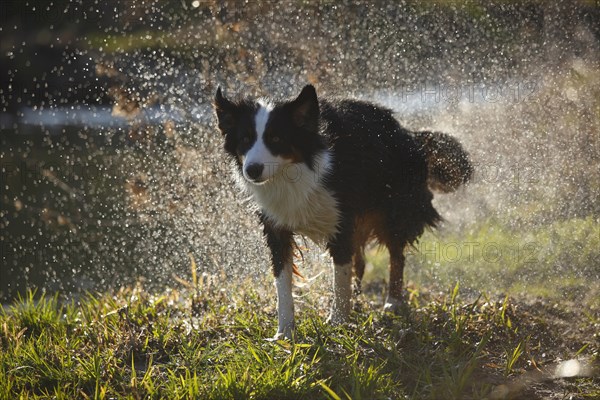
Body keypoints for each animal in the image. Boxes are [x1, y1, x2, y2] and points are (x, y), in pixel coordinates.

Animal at [213, 85, 472, 340]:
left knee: (396, 255)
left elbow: (340, 275)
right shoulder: (276, 227)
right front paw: (285, 331)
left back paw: (392, 303)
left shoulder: (341, 220)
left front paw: (337, 323)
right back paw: (357, 302)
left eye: (276, 138)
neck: (293, 173)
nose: (252, 170)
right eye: (245, 139)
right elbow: (282, 280)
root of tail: (406, 131)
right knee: (360, 262)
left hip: (390, 211)